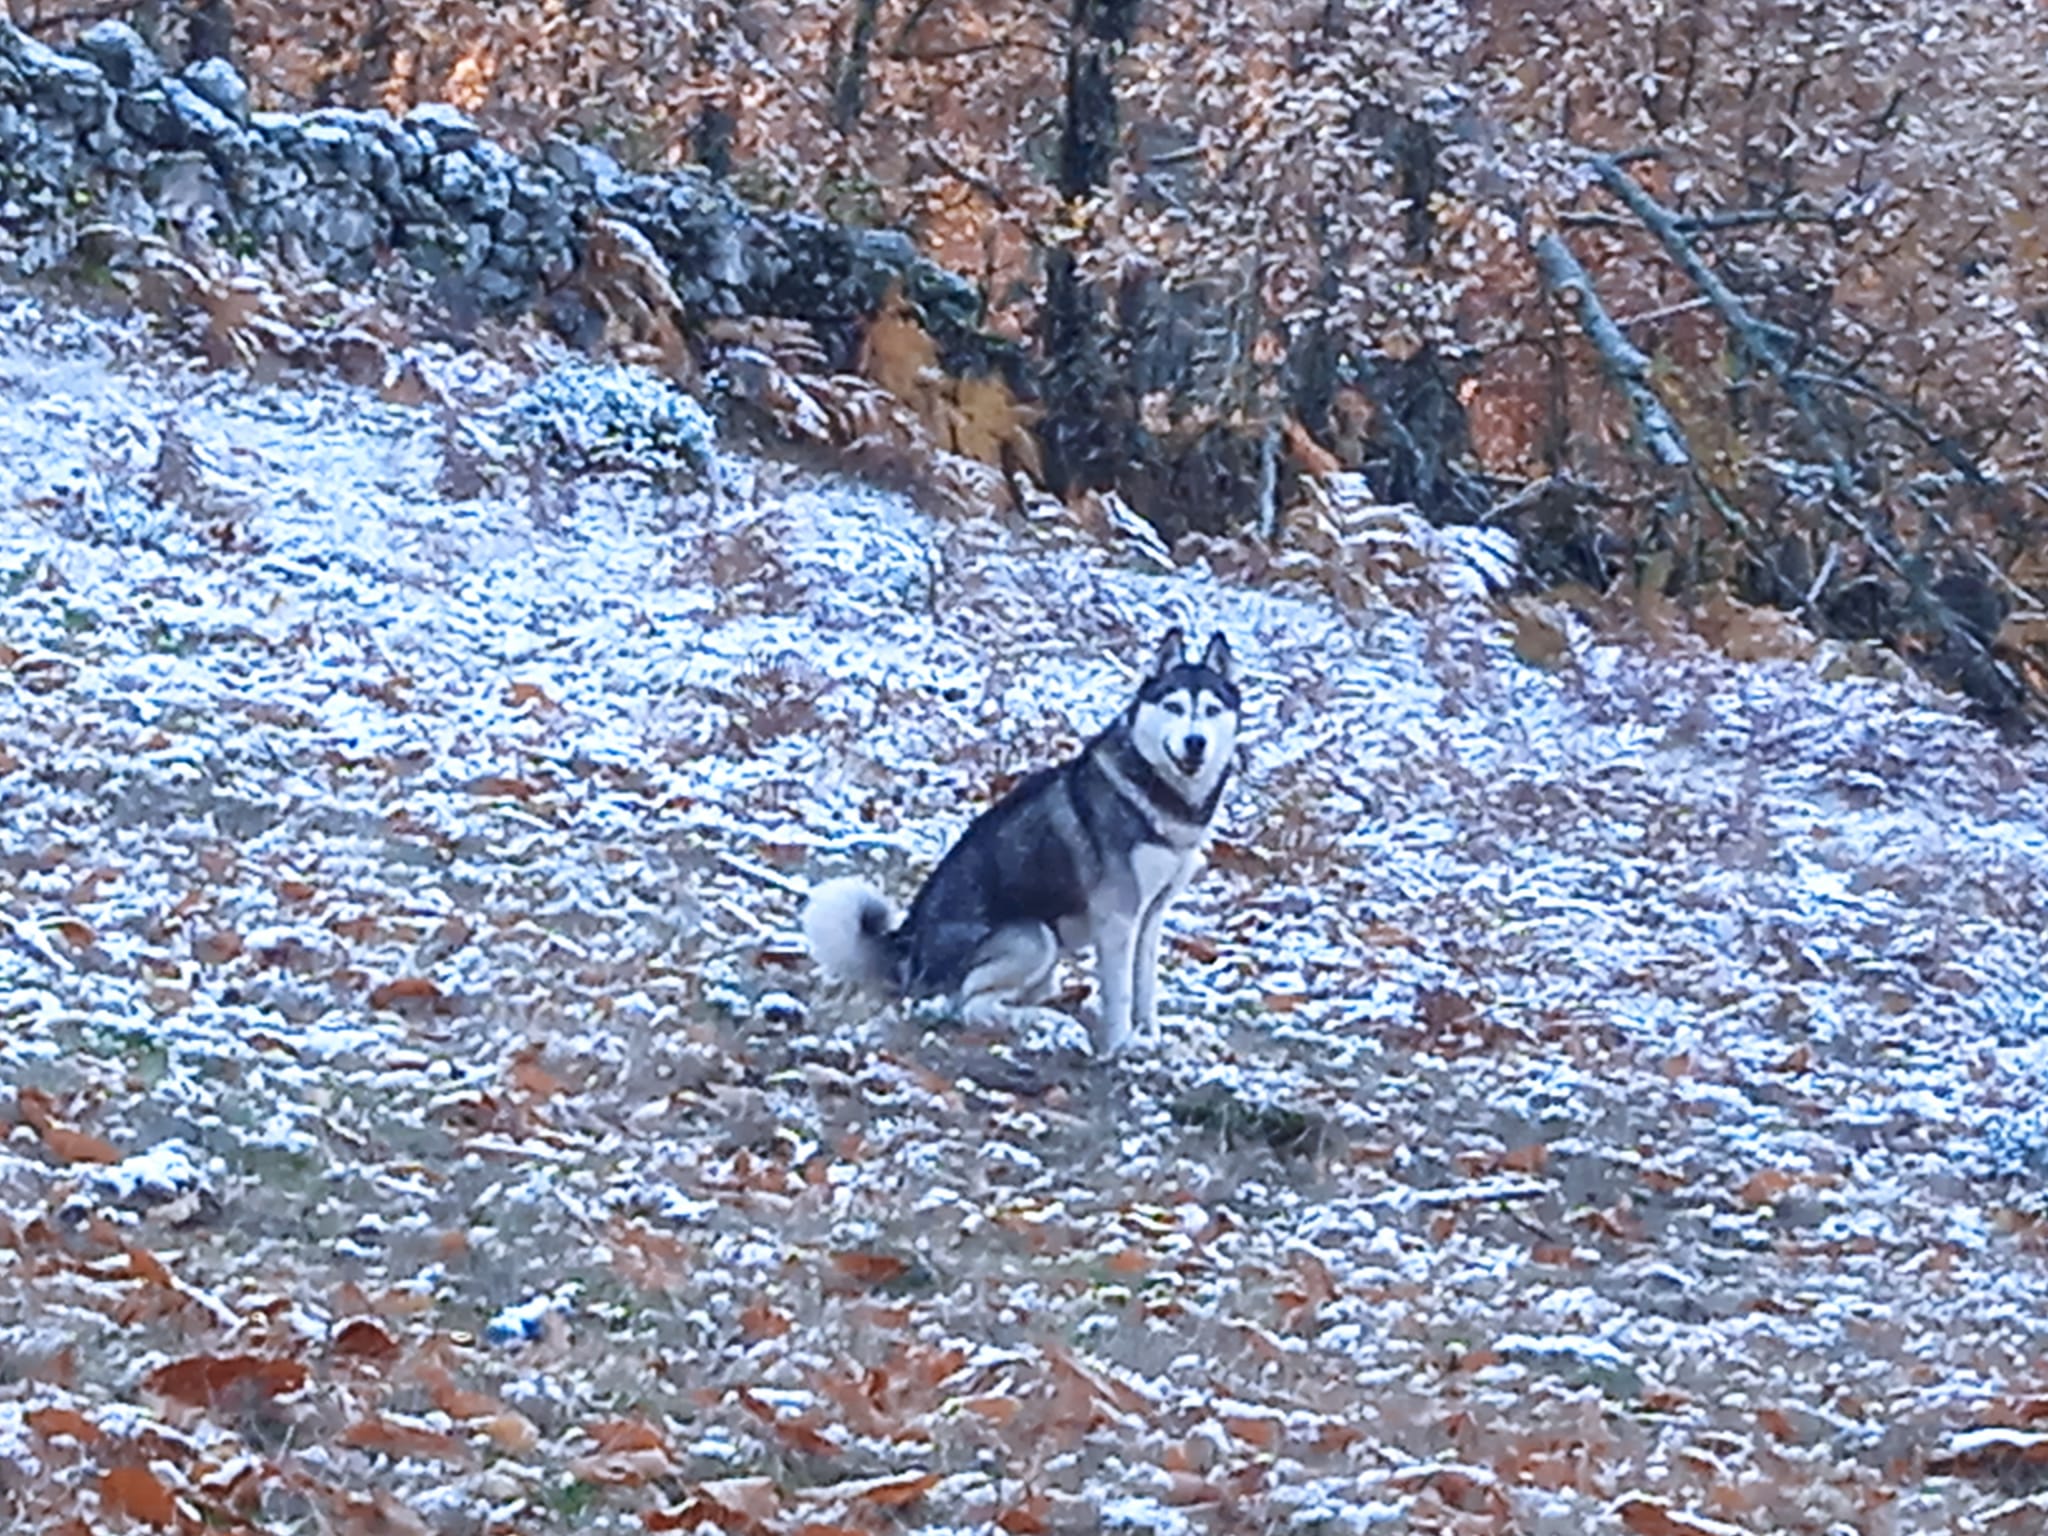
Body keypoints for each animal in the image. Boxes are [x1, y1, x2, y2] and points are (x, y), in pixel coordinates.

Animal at [806, 630, 1236, 1064]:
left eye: (1212, 709)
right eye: (1174, 706)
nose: (1195, 742)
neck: (1162, 794)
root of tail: (906, 949)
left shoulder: (1151, 917)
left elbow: (1146, 989)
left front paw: (1151, 1039)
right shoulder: (1118, 917)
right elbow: (1121, 996)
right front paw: (1119, 1048)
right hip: (1036, 938)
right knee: (968, 1005)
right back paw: (1045, 1021)